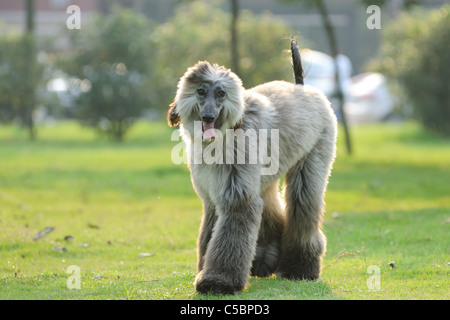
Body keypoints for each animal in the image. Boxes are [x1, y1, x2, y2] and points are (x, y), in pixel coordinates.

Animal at [167, 38, 336, 294]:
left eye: (221, 93)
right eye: (200, 91)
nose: (208, 117)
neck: (227, 133)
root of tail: (302, 87)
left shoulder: (236, 194)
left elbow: (231, 233)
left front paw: (218, 280)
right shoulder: (213, 196)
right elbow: (210, 232)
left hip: (311, 159)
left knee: (303, 206)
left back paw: (300, 269)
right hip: (264, 177)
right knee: (272, 212)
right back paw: (265, 262)